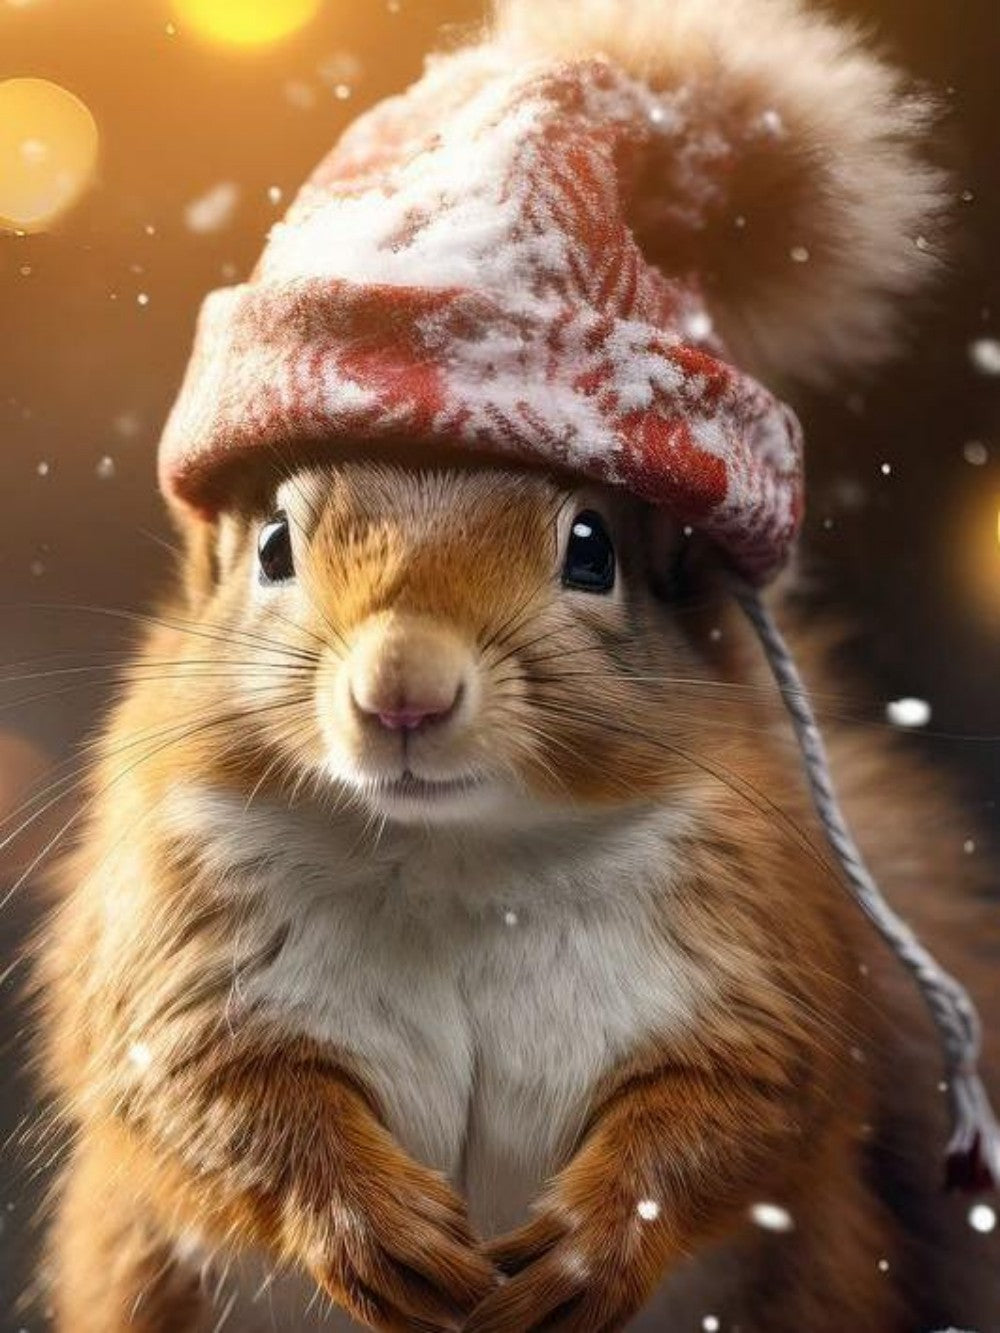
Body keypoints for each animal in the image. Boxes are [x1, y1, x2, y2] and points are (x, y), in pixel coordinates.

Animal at [34, 2, 1000, 1331]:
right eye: (274, 545)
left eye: (592, 549)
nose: (403, 689)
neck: (458, 862)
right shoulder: (169, 949)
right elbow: (212, 1096)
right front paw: (371, 1226)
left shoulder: (765, 944)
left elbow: (743, 1099)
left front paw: (592, 1245)